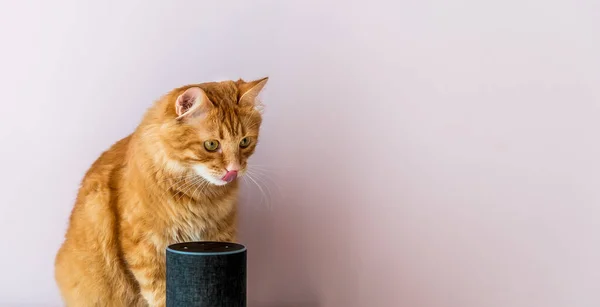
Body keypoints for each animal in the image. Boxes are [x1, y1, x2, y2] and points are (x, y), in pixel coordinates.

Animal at [54, 76, 270, 306]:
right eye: (211, 145)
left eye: (245, 142)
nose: (234, 170)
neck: (199, 196)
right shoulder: (146, 248)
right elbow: (160, 293)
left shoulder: (220, 236)